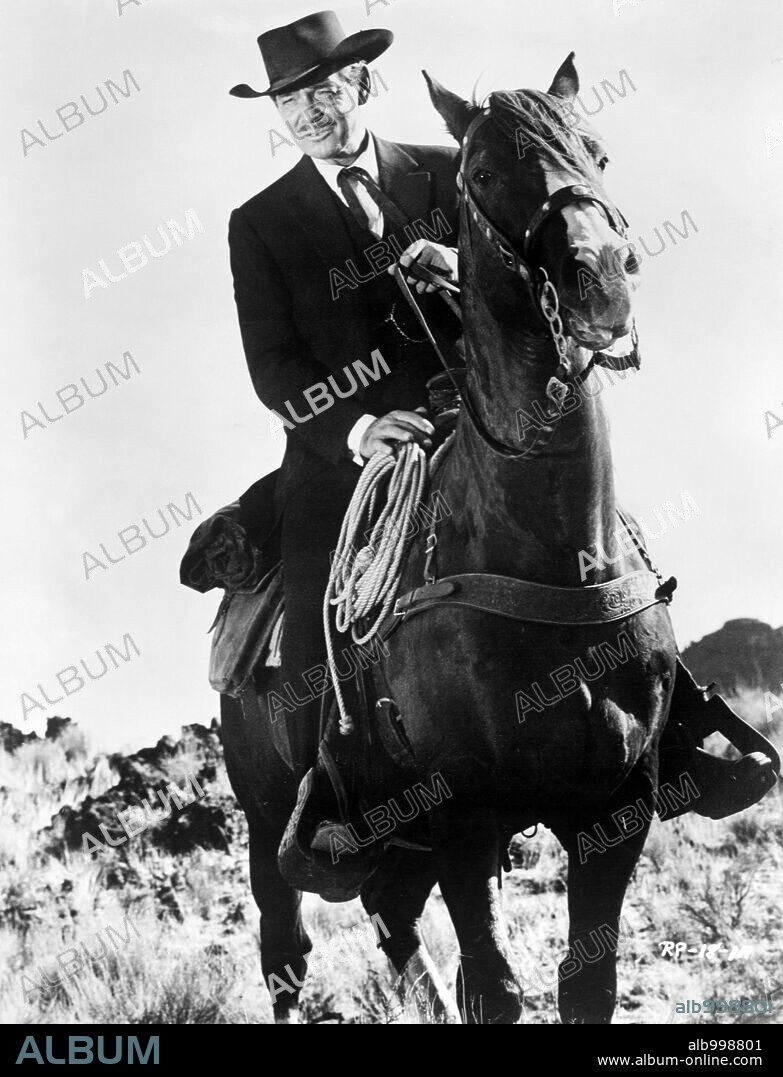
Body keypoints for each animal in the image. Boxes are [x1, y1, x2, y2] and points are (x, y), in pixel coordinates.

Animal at [221, 52, 680, 1025]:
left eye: (598, 151)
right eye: (482, 173)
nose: (601, 280)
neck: (547, 553)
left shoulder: (616, 803)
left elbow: (586, 982)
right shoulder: (463, 815)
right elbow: (497, 986)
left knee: (395, 925)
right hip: (267, 822)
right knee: (286, 954)